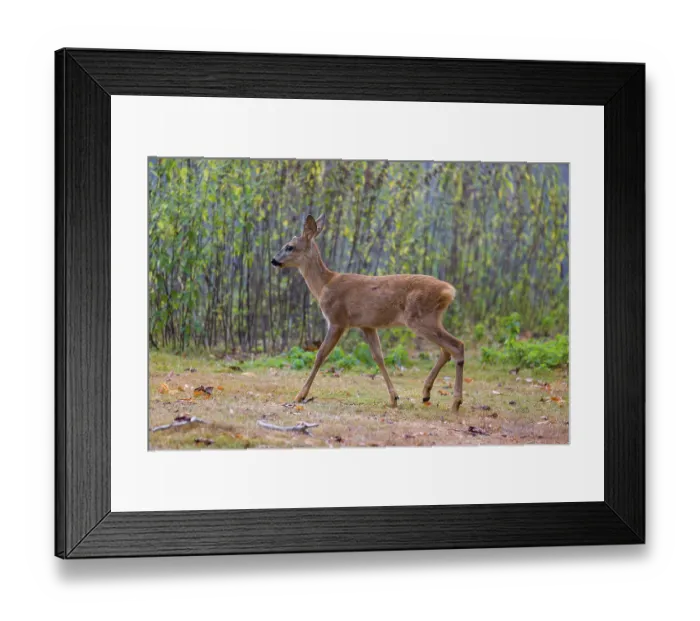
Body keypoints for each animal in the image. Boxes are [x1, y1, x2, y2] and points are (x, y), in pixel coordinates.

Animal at [271, 215, 465, 413]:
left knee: (457, 346)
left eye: (289, 246)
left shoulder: (337, 319)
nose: (273, 260)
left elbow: (320, 355)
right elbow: (378, 357)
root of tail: (449, 291)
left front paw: (300, 395)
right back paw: (426, 393)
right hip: (431, 319)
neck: (325, 285)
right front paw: (394, 398)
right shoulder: (367, 325)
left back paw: (455, 402)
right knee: (446, 350)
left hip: (420, 319)